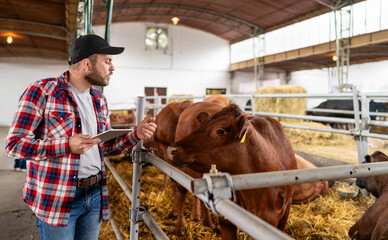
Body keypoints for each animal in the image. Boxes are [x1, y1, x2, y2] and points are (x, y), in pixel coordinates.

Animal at [167, 104, 298, 239]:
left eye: (220, 130)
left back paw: (208, 222)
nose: (172, 149)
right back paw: (180, 227)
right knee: (180, 193)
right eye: (201, 125)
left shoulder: (283, 215)